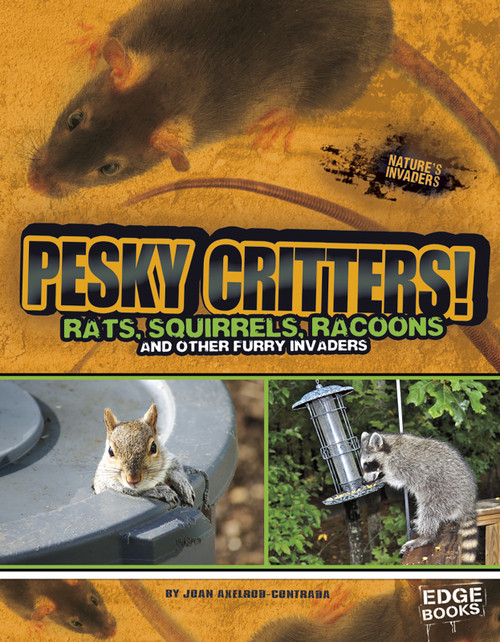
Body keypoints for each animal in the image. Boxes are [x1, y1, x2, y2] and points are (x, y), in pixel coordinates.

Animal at [360, 431, 478, 564]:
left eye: (367, 465)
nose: (364, 481)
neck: (389, 449)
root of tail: (468, 502)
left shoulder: (402, 464)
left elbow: (398, 479)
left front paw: (384, 479)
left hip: (445, 493)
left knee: (430, 510)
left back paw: (426, 536)